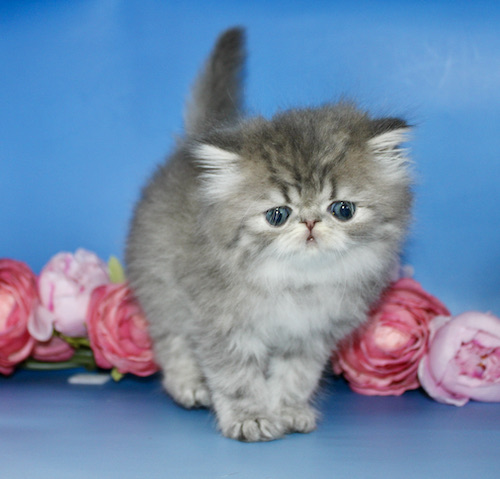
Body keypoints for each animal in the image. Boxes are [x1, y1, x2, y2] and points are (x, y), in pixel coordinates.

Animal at [126, 27, 412, 442]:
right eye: (278, 215)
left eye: (342, 210)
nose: (310, 224)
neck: (295, 284)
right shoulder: (221, 325)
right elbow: (238, 379)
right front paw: (252, 418)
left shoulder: (310, 337)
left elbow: (295, 378)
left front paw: (287, 411)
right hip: (163, 291)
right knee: (172, 341)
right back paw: (188, 385)